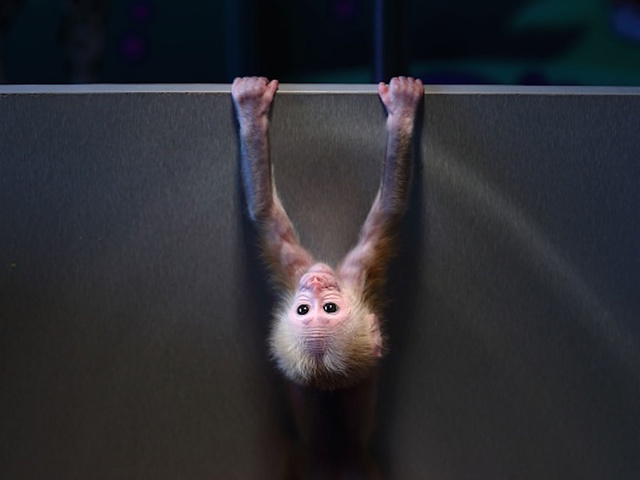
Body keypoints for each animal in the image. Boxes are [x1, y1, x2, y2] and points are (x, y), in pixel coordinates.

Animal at [232, 76, 422, 391]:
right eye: (303, 310)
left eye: (329, 308)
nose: (316, 281)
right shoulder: (308, 270)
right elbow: (264, 211)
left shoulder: (349, 273)